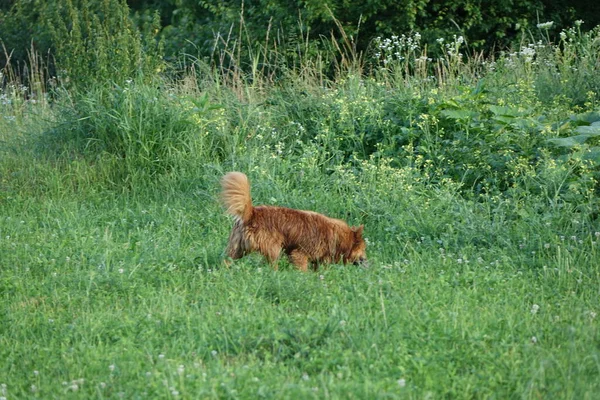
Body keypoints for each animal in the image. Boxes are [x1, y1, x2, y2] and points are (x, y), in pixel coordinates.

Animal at [220, 172, 366, 272]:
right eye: (363, 250)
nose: (366, 261)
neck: (336, 236)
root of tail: (252, 212)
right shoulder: (299, 254)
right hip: (274, 249)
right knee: (272, 266)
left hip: (237, 249)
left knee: (226, 261)